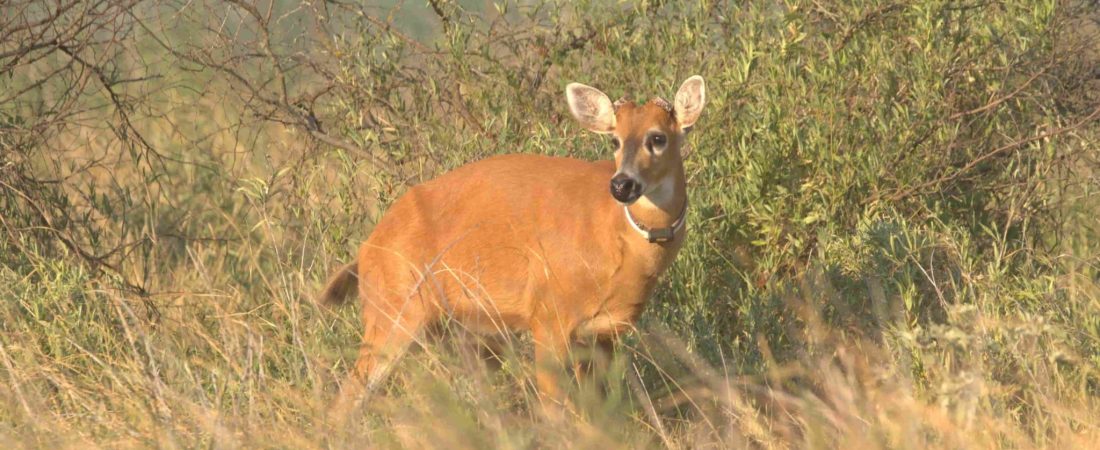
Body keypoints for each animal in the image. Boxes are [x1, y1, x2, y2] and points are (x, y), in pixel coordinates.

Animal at [321, 74, 708, 413]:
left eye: (657, 137)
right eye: (614, 140)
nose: (621, 184)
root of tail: (366, 250)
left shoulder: (604, 334)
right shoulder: (548, 316)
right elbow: (556, 409)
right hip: (393, 311)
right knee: (347, 400)